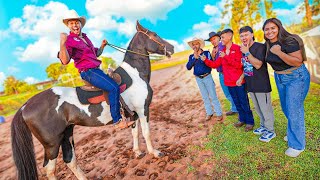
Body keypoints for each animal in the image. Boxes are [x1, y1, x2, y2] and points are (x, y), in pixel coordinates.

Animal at [11, 21, 174, 180]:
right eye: (154, 34)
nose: (172, 48)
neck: (134, 75)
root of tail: (25, 106)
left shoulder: (132, 114)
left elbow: (135, 132)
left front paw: (138, 152)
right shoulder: (142, 109)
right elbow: (146, 132)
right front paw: (155, 153)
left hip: (66, 134)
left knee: (70, 160)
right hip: (52, 144)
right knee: (50, 170)